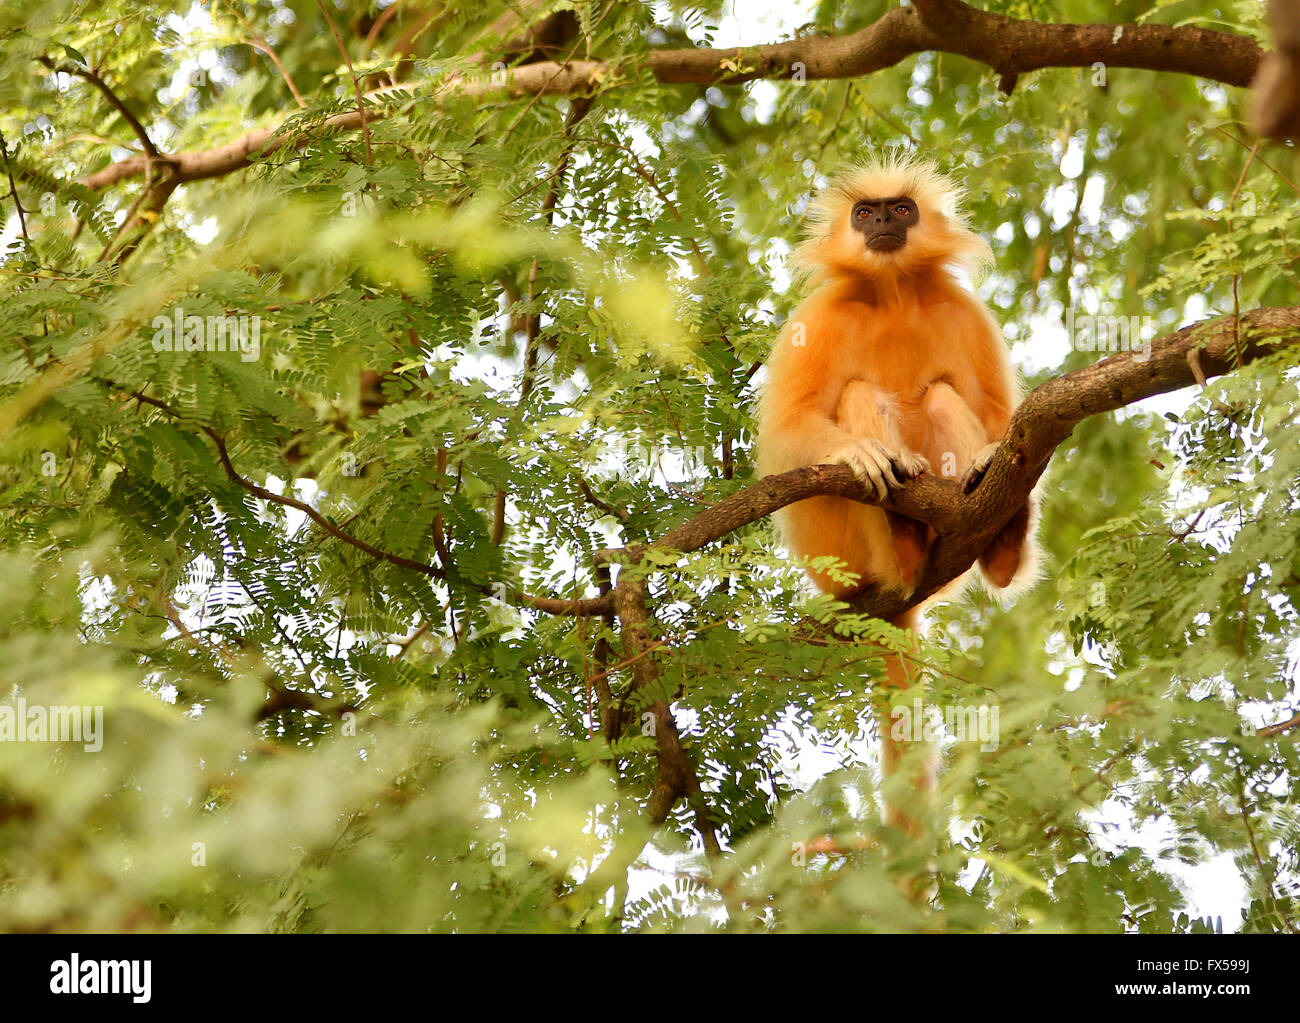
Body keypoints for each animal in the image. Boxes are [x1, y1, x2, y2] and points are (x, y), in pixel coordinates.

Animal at [754, 154, 1034, 842]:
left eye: (900, 209)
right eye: (865, 213)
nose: (882, 222)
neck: (894, 293)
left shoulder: (963, 311)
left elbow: (1000, 419)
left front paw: (994, 457)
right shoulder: (820, 314)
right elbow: (786, 432)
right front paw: (859, 454)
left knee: (942, 396)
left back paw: (1002, 541)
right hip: (843, 557)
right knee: (860, 394)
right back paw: (903, 536)